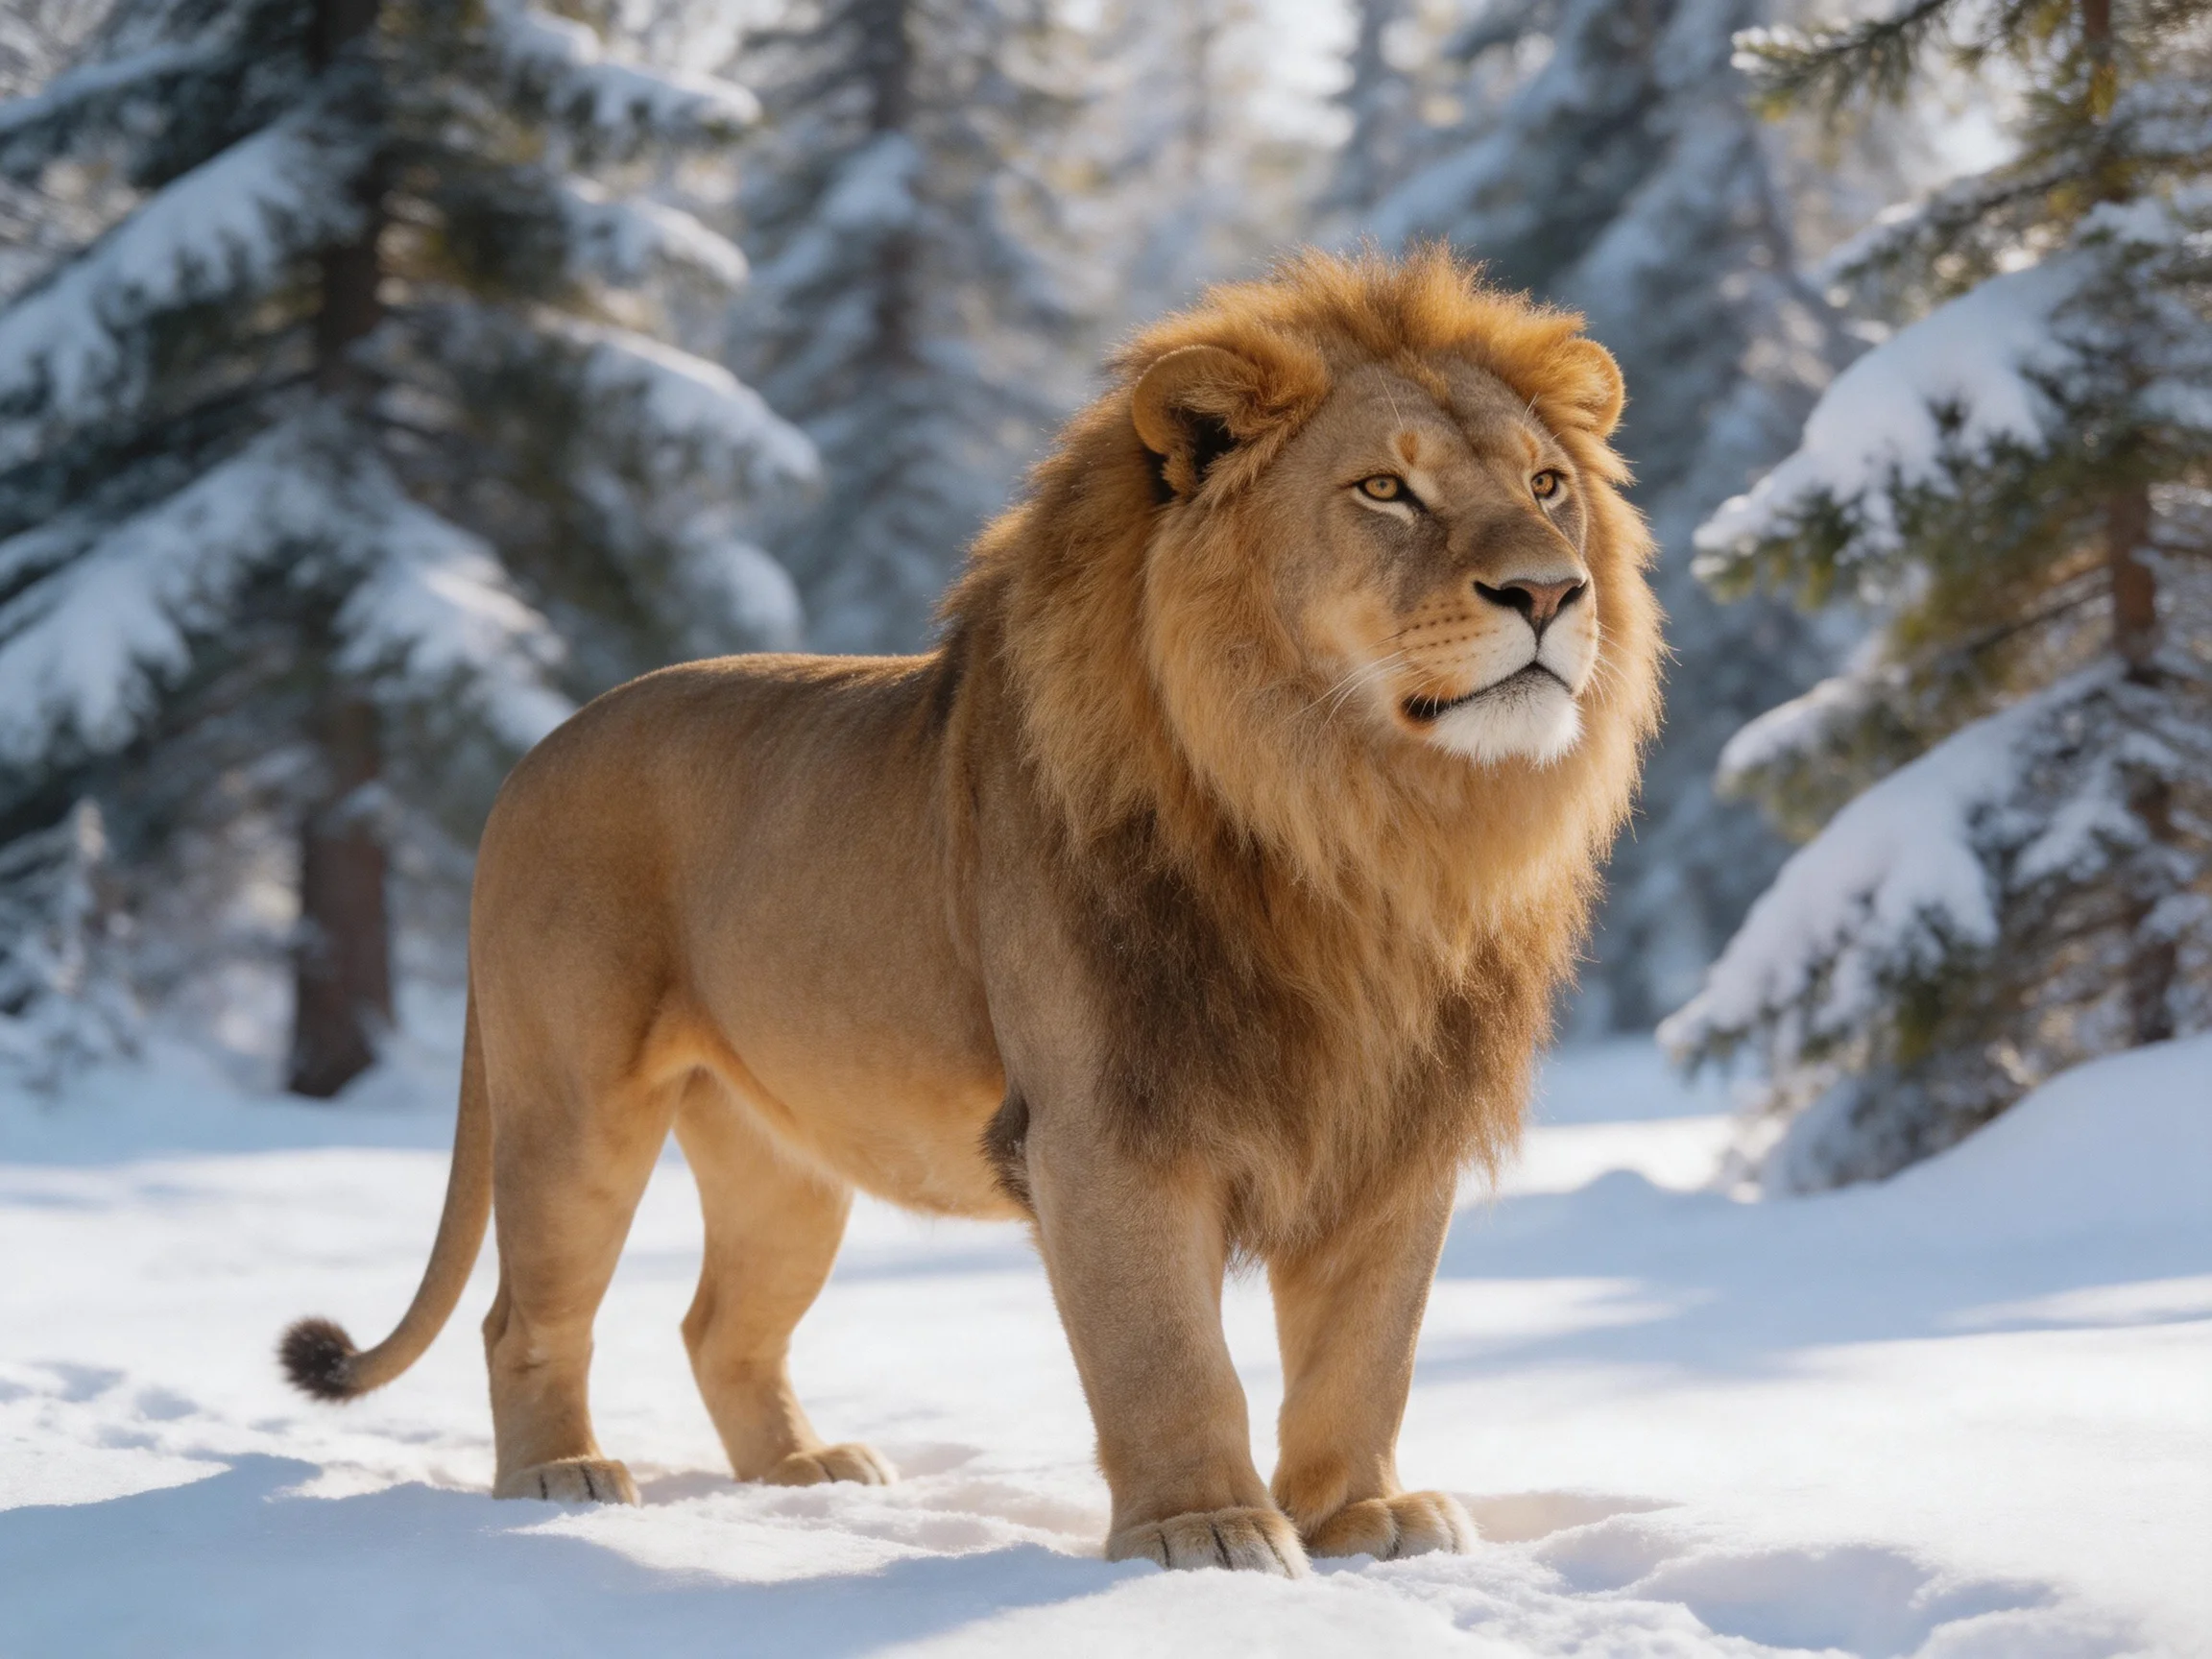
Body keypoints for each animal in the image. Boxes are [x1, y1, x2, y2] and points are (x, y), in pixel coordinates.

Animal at [279, 248, 1662, 1575]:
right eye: (1384, 490)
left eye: (1547, 485)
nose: (1550, 593)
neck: (1362, 825)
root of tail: (535, 754)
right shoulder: (1108, 1127)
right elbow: (1167, 1353)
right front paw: (1203, 1533)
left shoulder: (1389, 1132)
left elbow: (1365, 1356)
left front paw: (1360, 1516)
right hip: (576, 1106)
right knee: (525, 1313)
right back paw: (558, 1479)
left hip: (782, 1156)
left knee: (720, 1324)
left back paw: (807, 1474)